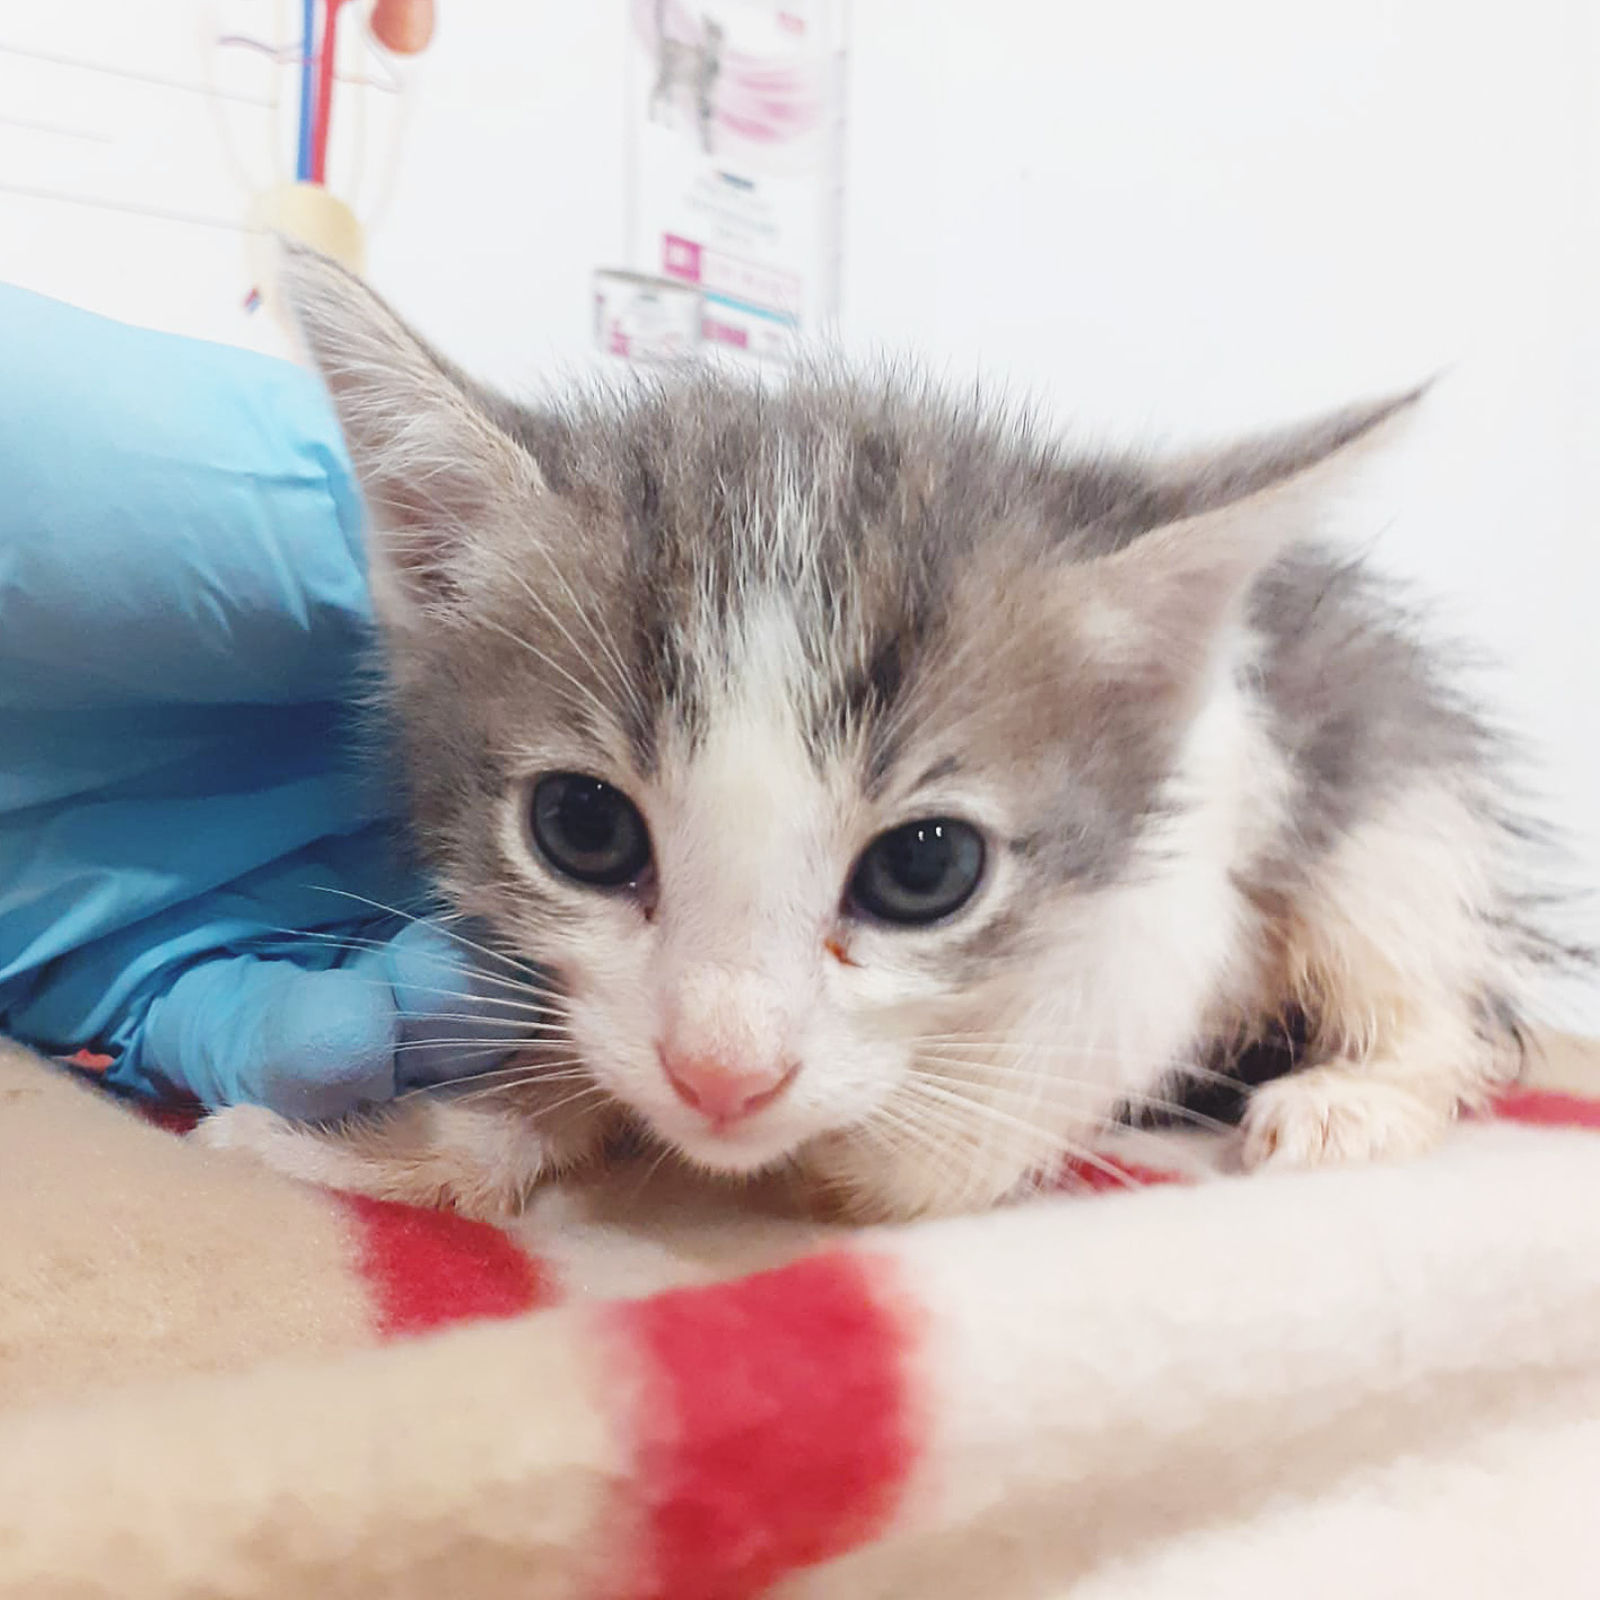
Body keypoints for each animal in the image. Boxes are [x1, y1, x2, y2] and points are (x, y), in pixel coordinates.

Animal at [197, 244, 1581, 1222]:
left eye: (926, 869)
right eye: (580, 828)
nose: (723, 1077)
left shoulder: (1184, 851)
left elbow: (1008, 1092)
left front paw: (856, 1151)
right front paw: (395, 1148)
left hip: (1394, 787)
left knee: (1422, 961)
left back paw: (1361, 1092)